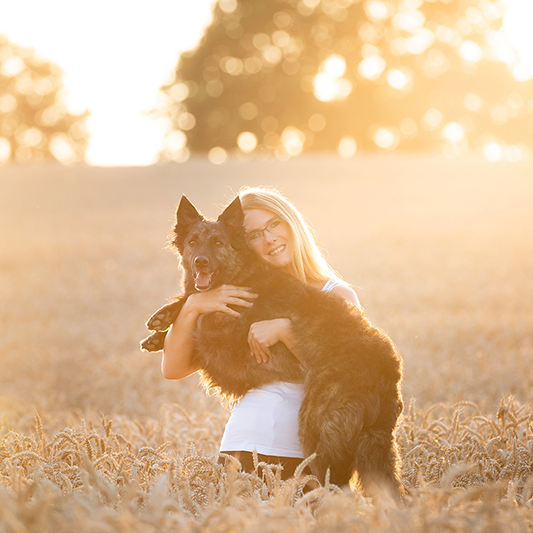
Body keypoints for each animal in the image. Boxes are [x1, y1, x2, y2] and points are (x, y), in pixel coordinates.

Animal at [141, 195, 404, 498]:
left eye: (218, 242)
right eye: (193, 241)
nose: (201, 262)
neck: (240, 274)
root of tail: (390, 374)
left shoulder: (222, 343)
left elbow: (195, 312)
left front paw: (168, 318)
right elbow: (189, 304)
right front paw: (161, 325)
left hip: (317, 432)